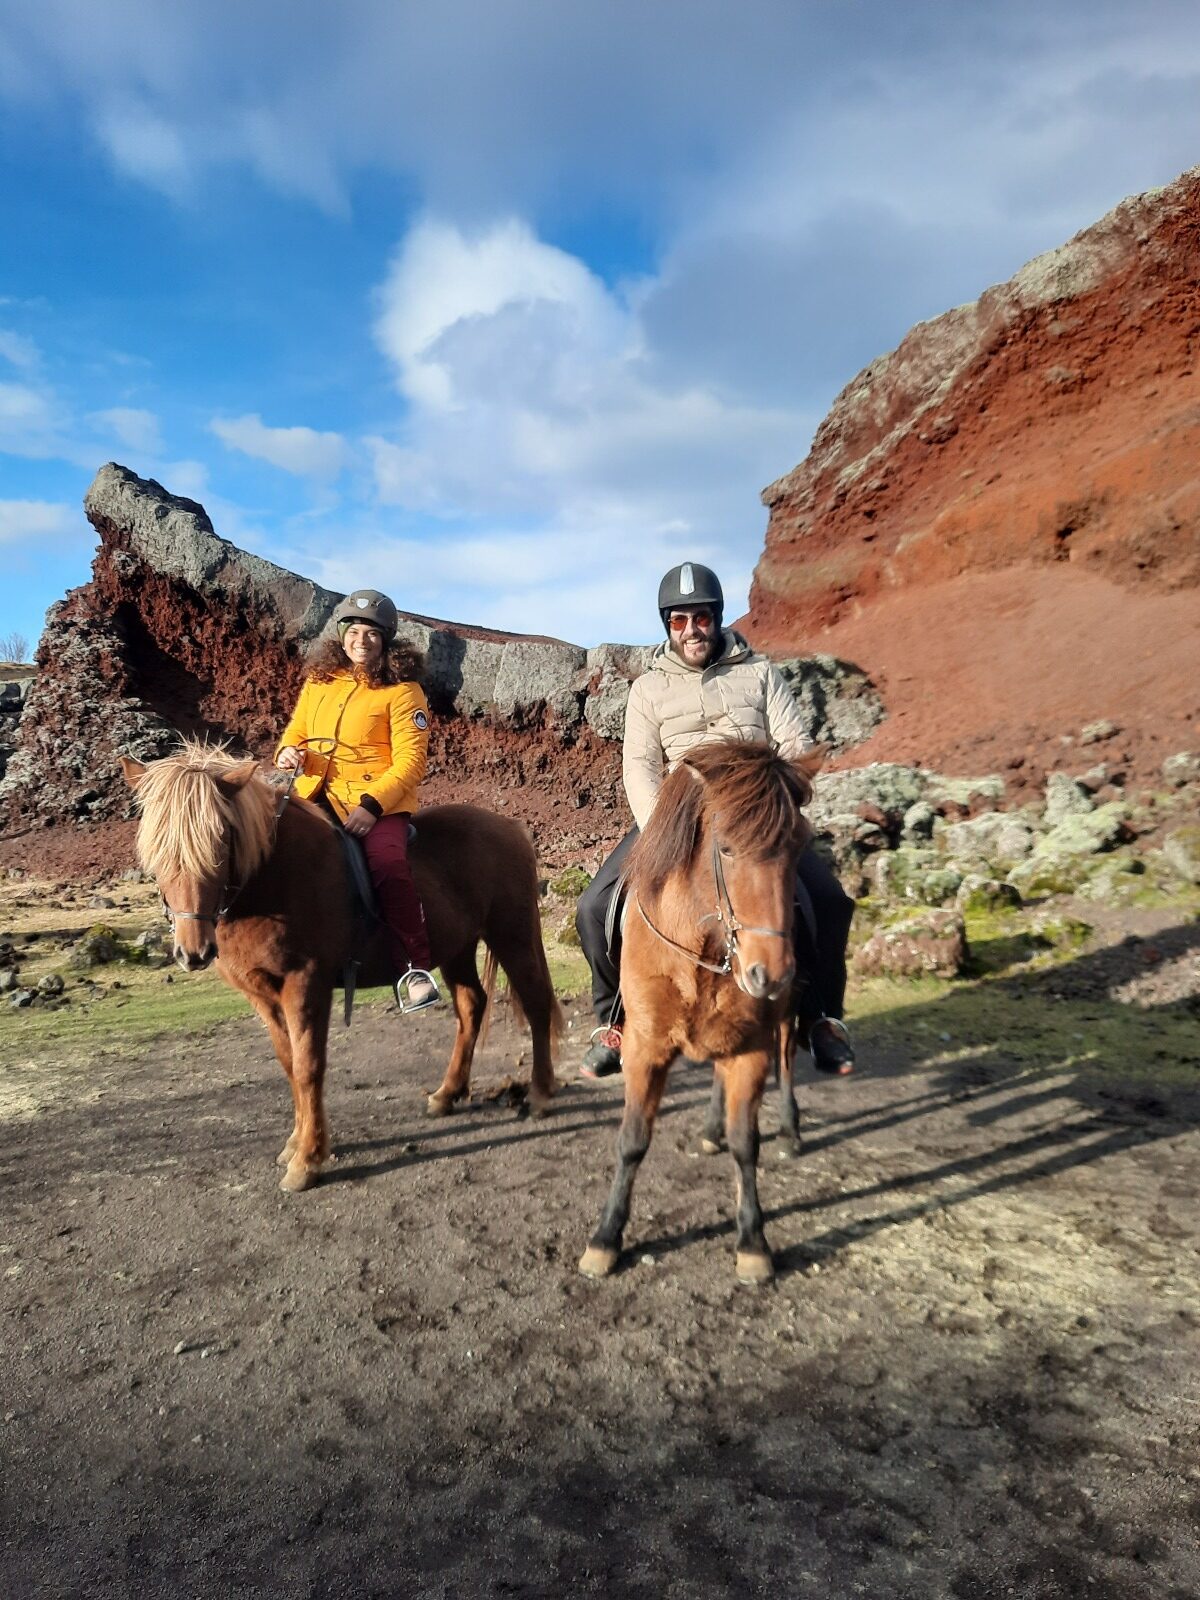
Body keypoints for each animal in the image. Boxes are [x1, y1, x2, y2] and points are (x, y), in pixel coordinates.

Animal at [124, 745, 566, 1190]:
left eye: (220, 837)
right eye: (154, 846)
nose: (193, 952)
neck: (274, 877)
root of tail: (508, 827)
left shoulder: (306, 985)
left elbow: (308, 1066)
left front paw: (308, 1159)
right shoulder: (263, 994)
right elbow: (289, 1063)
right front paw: (296, 1142)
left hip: (511, 936)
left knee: (536, 1003)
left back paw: (540, 1094)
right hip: (456, 949)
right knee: (472, 1005)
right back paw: (447, 1094)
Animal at [579, 739, 819, 1286]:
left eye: (799, 844)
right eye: (725, 847)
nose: (769, 973)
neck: (702, 950)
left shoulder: (752, 1049)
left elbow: (746, 1143)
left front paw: (752, 1242)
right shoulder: (644, 1049)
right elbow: (632, 1141)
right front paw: (605, 1238)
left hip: (783, 1021)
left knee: (787, 1061)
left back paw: (790, 1129)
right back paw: (710, 1130)